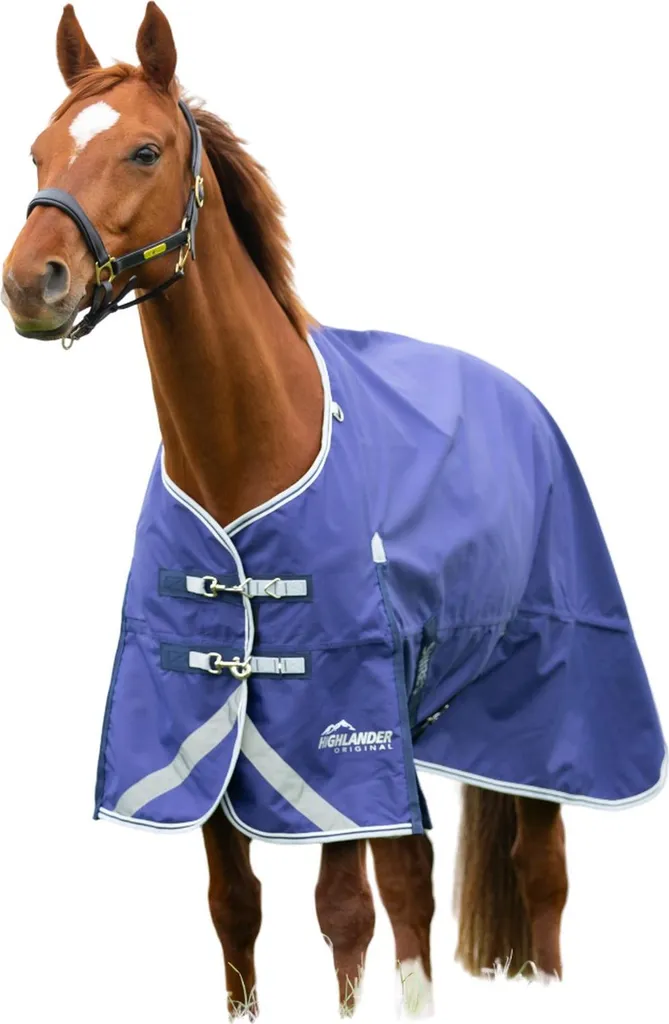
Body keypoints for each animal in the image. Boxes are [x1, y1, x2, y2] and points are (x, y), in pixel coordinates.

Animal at [2, 4, 664, 1019]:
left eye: (145, 151)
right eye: (39, 151)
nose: (30, 281)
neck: (248, 452)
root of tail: (520, 399)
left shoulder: (338, 723)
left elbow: (350, 909)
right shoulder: (210, 725)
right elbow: (237, 907)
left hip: (548, 693)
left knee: (535, 871)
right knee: (422, 877)